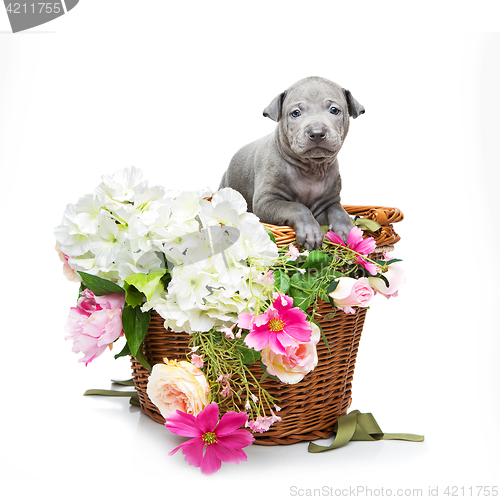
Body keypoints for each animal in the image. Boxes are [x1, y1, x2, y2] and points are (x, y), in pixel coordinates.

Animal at [219, 75, 364, 250]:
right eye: (296, 113)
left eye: (334, 110)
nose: (317, 133)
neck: (312, 169)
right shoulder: (266, 201)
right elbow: (297, 207)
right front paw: (310, 231)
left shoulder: (328, 202)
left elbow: (338, 209)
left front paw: (347, 229)